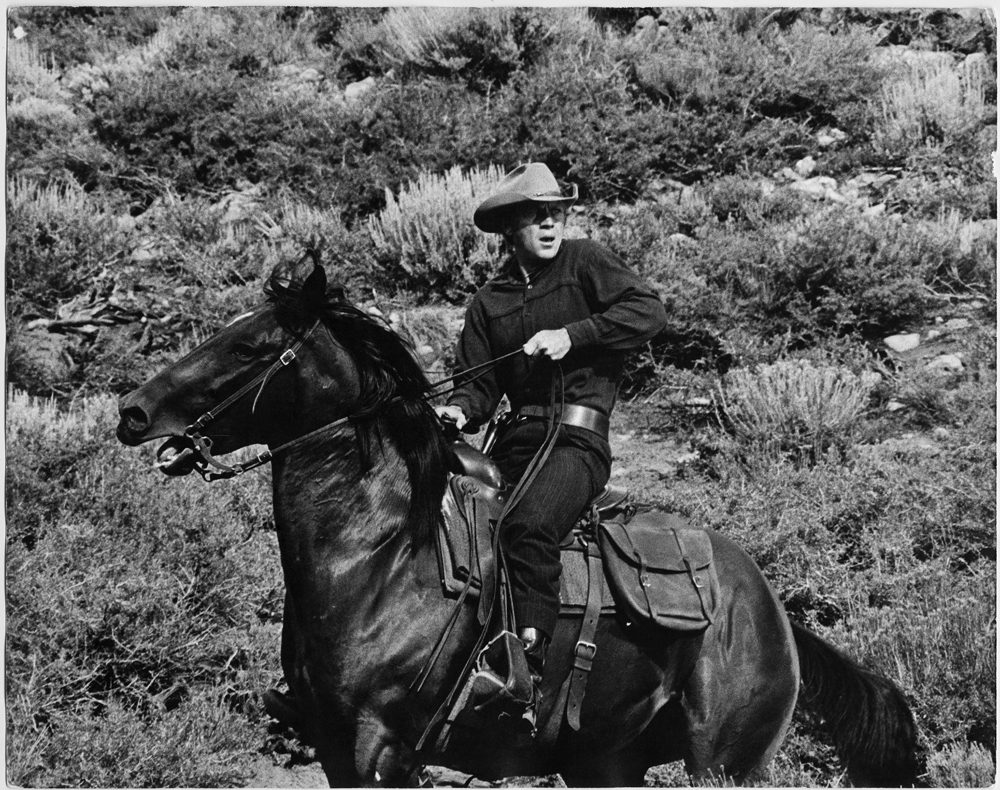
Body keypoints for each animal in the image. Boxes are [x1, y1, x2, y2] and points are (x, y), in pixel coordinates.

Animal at [117, 266, 920, 784]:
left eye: (250, 348)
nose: (132, 411)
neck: (380, 559)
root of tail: (773, 609)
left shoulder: (382, 748)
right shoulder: (337, 750)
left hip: (725, 766)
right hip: (606, 765)